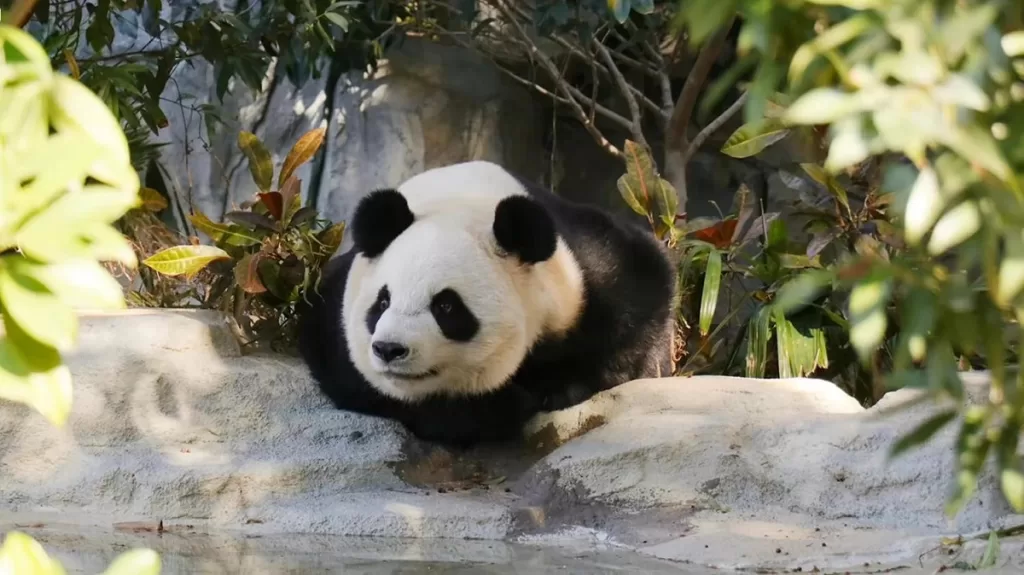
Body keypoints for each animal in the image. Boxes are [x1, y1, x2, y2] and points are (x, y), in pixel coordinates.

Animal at [297, 161, 676, 448]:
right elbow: (356, 379)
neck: (459, 202)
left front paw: (563, 387)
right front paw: (502, 406)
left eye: (446, 307)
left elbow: (641, 293)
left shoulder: (580, 268)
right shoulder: (335, 311)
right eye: (382, 301)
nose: (389, 349)